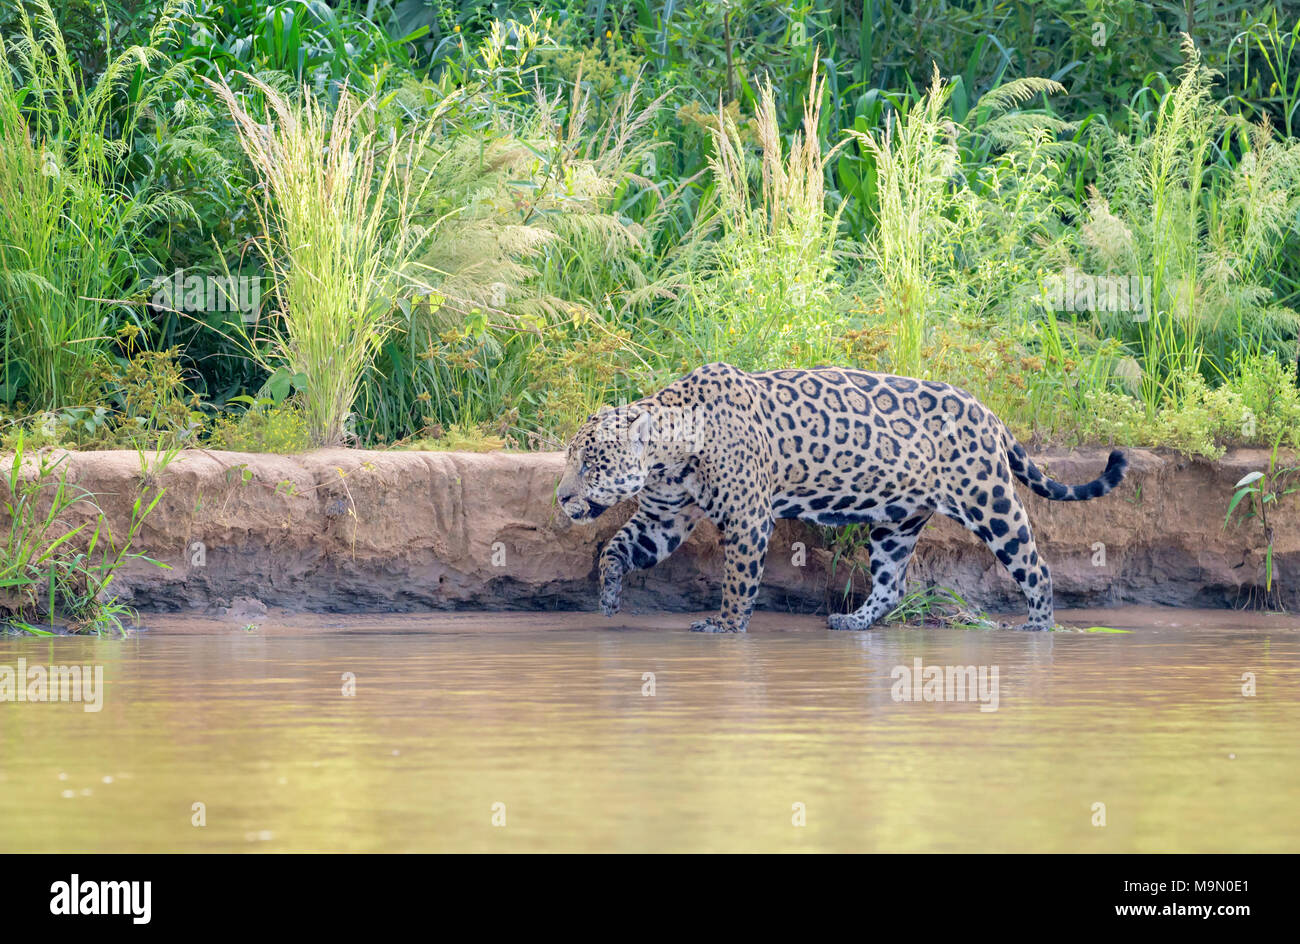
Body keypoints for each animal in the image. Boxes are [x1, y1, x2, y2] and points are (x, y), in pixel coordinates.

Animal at [556, 362, 1128, 633]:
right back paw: (853, 622)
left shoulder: (747, 519)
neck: (671, 454)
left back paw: (1037, 628)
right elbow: (617, 549)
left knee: (1036, 566)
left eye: (590, 463)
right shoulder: (663, 517)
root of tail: (987, 410)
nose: (561, 499)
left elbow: (737, 580)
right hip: (896, 521)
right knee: (892, 584)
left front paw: (725, 625)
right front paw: (608, 601)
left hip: (990, 499)